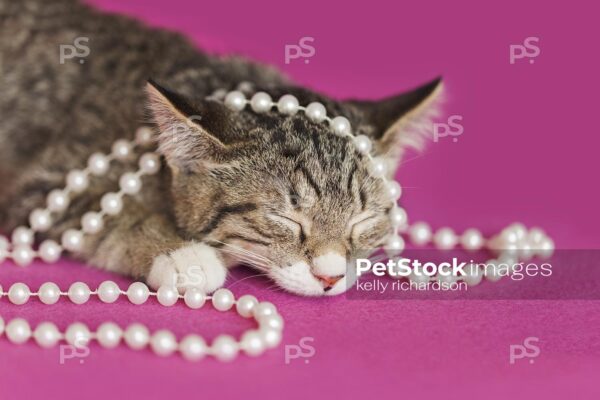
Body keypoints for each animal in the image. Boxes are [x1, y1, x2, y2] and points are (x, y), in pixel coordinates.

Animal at [0, 0, 440, 294]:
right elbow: (106, 216)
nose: (329, 276)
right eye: (285, 219)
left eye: (363, 221)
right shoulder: (43, 188)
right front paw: (182, 253)